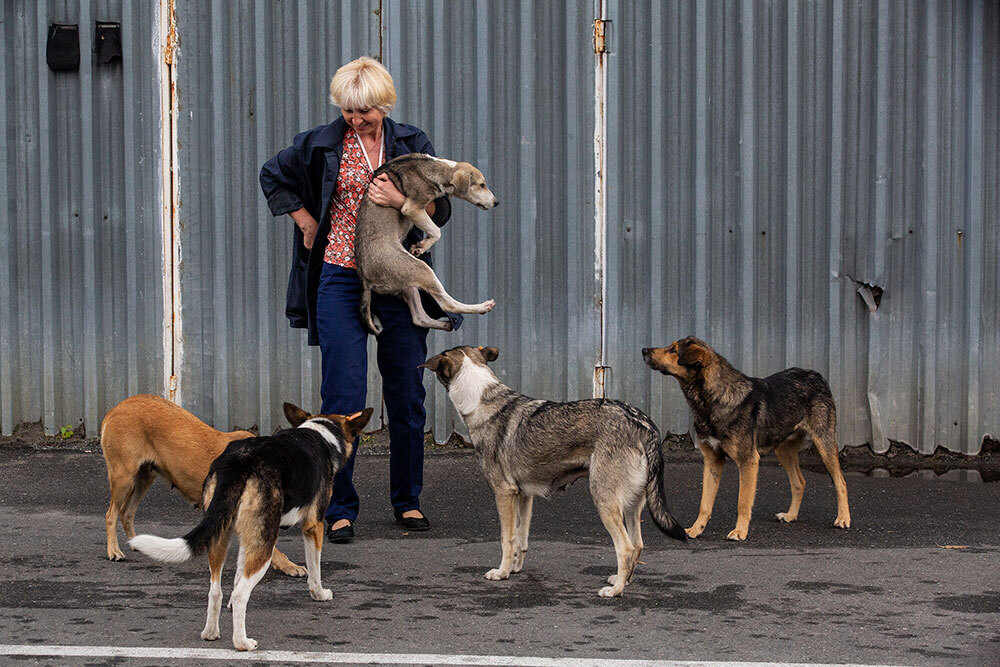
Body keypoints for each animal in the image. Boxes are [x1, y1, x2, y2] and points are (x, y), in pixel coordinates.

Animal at [102, 394, 306, 576]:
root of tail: (116, 408)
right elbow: (272, 549)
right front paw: (289, 566)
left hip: (144, 478)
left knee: (127, 512)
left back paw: (137, 543)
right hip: (123, 476)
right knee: (111, 514)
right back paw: (114, 551)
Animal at [129, 402, 372, 652]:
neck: (322, 432)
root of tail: (239, 463)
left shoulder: (246, 538)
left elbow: (236, 576)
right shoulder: (313, 525)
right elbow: (315, 568)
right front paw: (320, 594)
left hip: (221, 535)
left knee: (216, 591)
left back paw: (211, 633)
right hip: (264, 542)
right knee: (240, 595)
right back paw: (242, 642)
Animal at [352, 152, 500, 334]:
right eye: (481, 185)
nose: (496, 202)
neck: (439, 168)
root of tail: (365, 280)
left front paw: (420, 246)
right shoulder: (411, 208)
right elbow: (437, 231)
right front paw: (422, 245)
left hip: (408, 282)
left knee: (418, 318)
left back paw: (445, 324)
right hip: (420, 269)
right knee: (447, 304)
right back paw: (482, 307)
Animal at [416, 348, 688, 596]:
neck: (482, 399)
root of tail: (645, 425)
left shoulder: (503, 493)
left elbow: (506, 539)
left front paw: (502, 573)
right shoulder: (524, 495)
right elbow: (521, 538)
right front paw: (515, 569)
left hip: (604, 500)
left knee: (626, 548)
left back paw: (616, 591)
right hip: (632, 506)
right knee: (638, 545)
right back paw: (624, 581)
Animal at [644, 340, 848, 544]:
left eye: (673, 350)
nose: (644, 350)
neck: (713, 400)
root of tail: (815, 375)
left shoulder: (748, 462)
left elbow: (742, 502)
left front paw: (740, 531)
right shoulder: (712, 461)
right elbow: (705, 503)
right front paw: (696, 529)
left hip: (824, 443)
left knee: (840, 481)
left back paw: (843, 519)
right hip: (783, 449)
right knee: (799, 482)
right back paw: (790, 515)